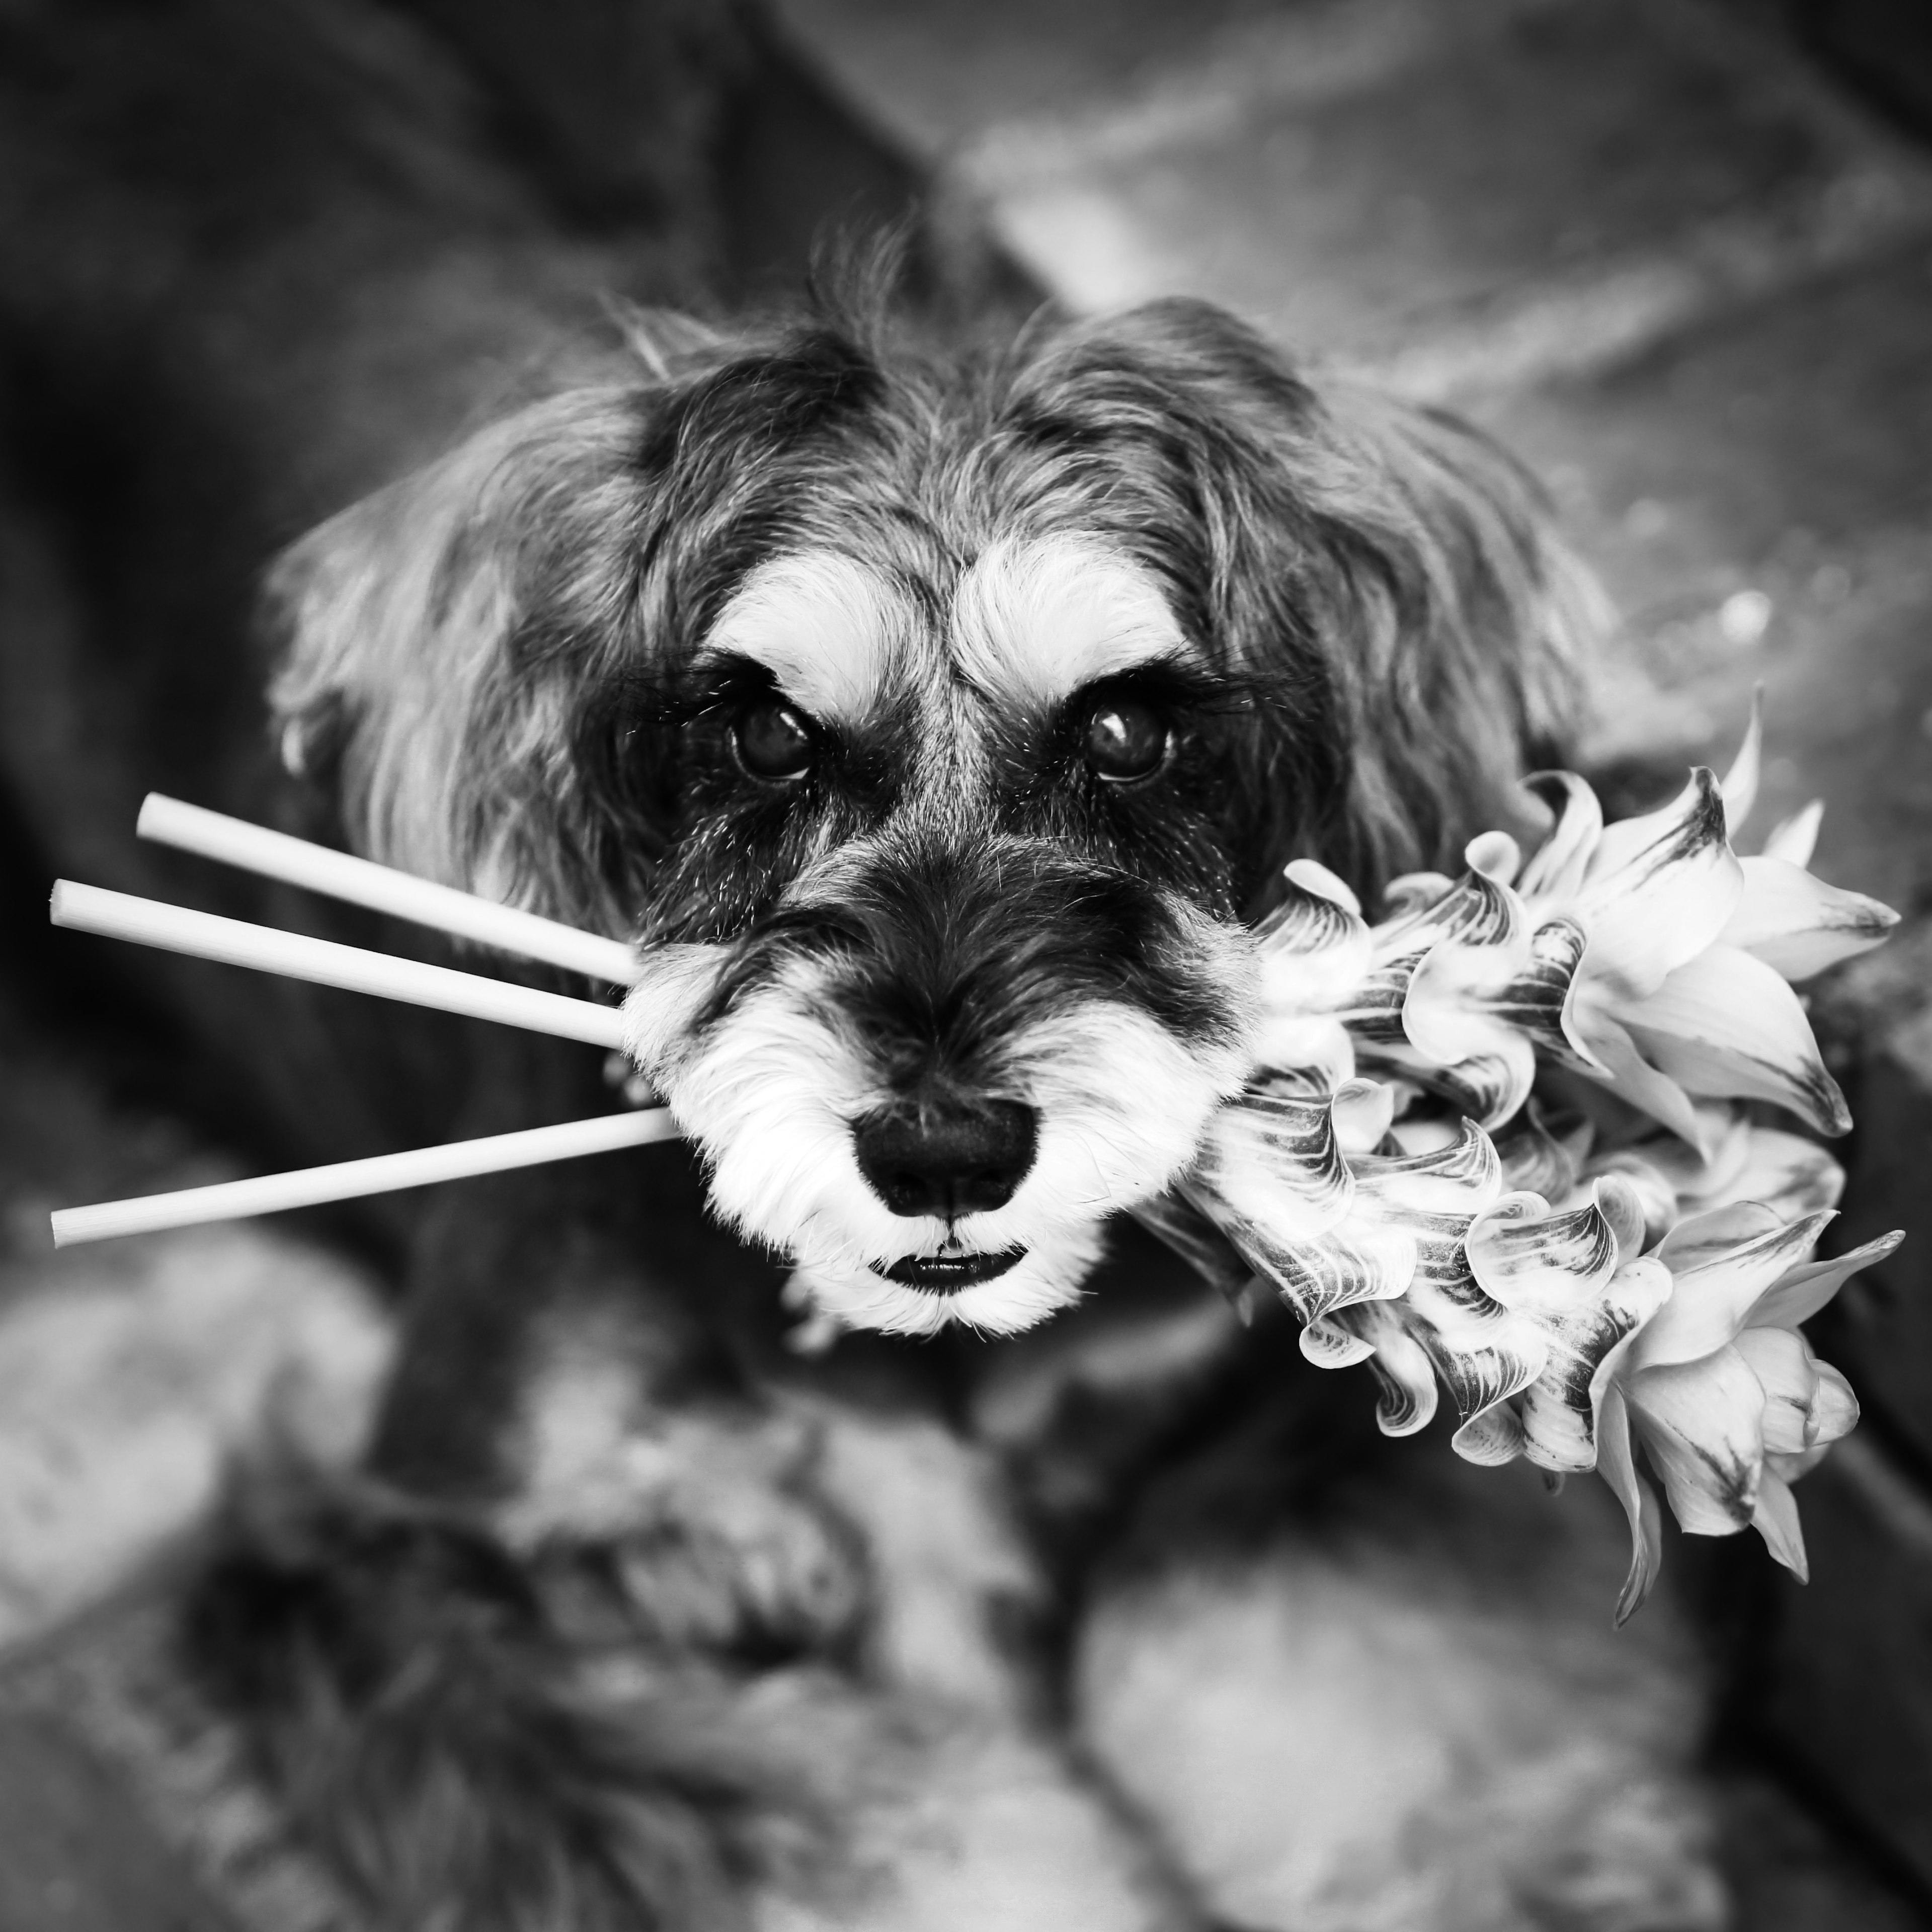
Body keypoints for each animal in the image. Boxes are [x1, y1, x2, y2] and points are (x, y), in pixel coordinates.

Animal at [0, 8, 1731, 1924]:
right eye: (759, 735)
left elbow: (1360, 1676)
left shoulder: (1293, 1407)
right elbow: (886, 1834)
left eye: (1127, 728)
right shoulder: (426, 1564)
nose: (943, 1150)